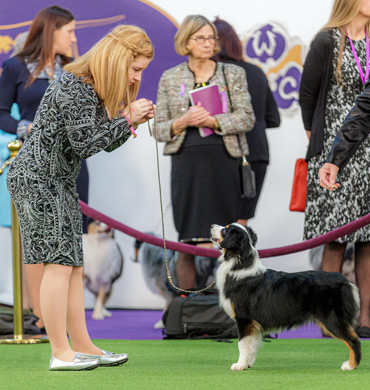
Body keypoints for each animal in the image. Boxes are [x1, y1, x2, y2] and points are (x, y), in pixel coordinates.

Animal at [211, 222, 362, 372]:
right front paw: (247, 364)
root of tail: (346, 281)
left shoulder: (244, 318)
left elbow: (242, 344)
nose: (212, 226)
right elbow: (251, 345)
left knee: (354, 340)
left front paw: (239, 365)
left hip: (332, 319)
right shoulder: (252, 323)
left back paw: (351, 365)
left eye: (225, 230)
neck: (238, 265)